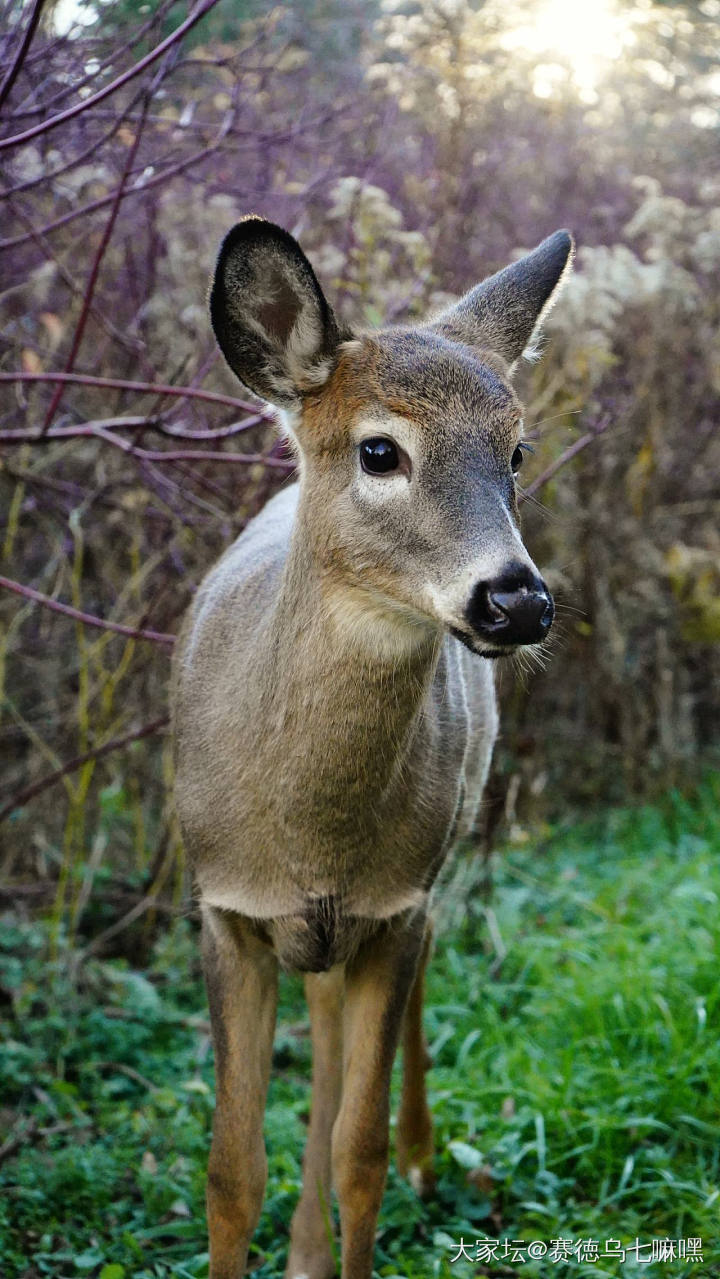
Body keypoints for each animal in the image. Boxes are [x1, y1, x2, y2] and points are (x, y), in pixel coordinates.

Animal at [171, 212, 572, 1279]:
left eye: (516, 451)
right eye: (380, 449)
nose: (516, 599)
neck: (308, 825)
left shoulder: (396, 904)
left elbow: (363, 1154)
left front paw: (383, 1181)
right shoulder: (224, 906)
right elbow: (229, 1172)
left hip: (437, 860)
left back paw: (429, 1164)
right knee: (322, 1023)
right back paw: (304, 1249)